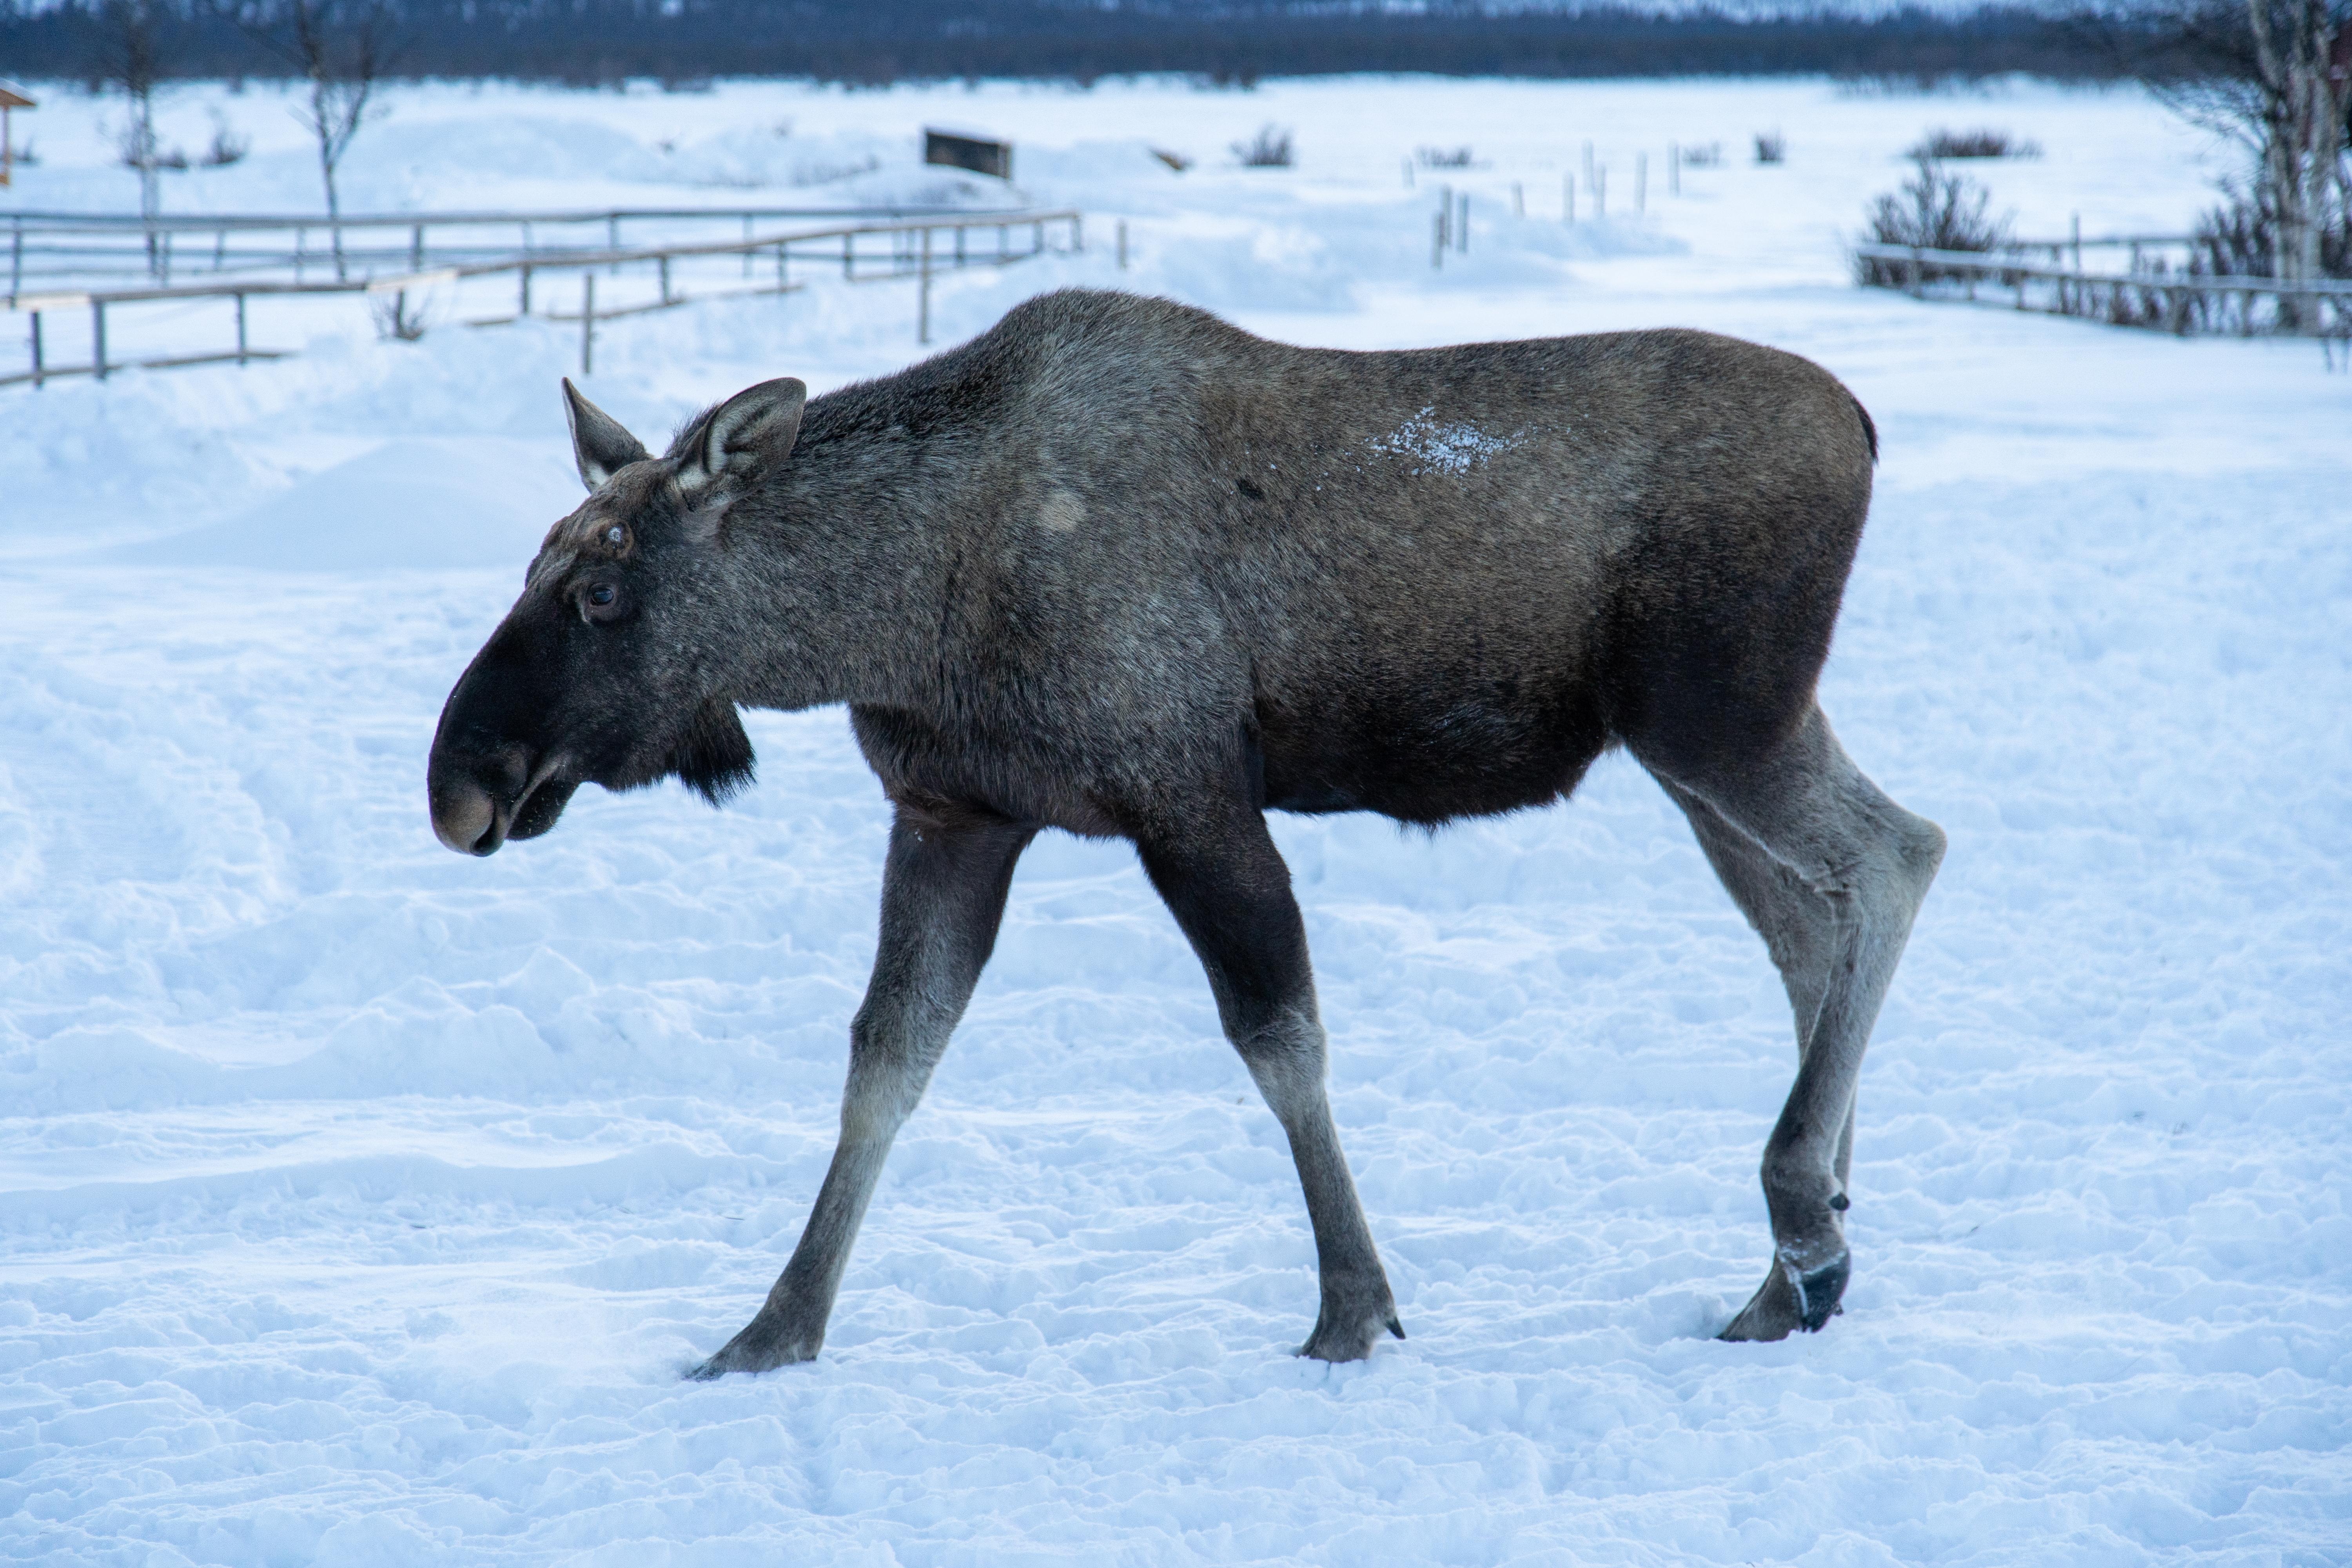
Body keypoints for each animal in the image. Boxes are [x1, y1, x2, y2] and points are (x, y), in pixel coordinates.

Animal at [433, 291, 1938, 1373]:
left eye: (606, 592)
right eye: (534, 567)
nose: (461, 783)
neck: (895, 610)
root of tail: (1867, 424)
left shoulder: (1189, 795)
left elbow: (1280, 1041)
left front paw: (1352, 1309)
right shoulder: (955, 813)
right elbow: (886, 1060)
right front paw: (771, 1330)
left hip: (1715, 716)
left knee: (1893, 856)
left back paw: (1801, 1216)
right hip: (1691, 751)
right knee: (1807, 925)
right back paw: (1797, 1265)